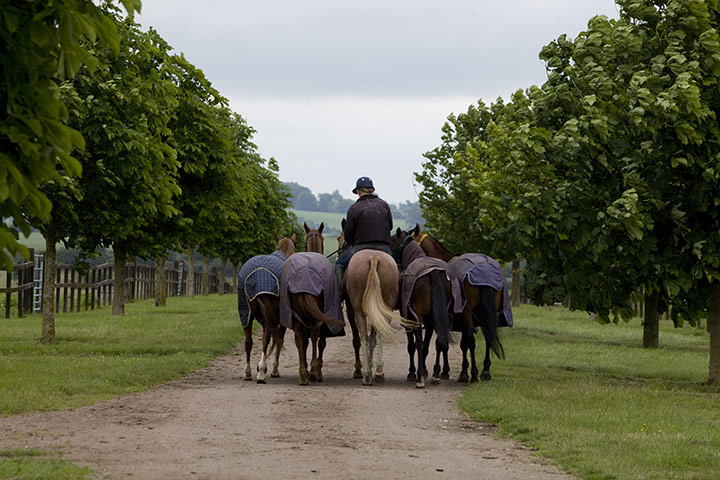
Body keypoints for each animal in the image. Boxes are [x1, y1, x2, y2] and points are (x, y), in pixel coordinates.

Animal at [237, 233, 296, 383]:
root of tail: (258, 274)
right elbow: (279, 339)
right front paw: (274, 369)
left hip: (245, 311)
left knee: (249, 341)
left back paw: (248, 372)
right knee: (266, 338)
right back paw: (261, 372)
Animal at [279, 223, 345, 385]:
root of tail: (306, 273)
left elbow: (305, 342)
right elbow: (321, 342)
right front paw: (317, 370)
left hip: (296, 315)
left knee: (299, 339)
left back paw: (303, 373)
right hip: (317, 316)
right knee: (315, 337)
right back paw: (314, 371)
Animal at [338, 218, 410, 385]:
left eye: (339, 238)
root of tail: (373, 257)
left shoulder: (351, 310)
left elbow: (358, 339)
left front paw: (360, 369)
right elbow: (373, 337)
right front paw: (371, 365)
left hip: (358, 310)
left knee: (363, 336)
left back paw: (365, 375)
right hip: (387, 308)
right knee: (380, 334)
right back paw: (379, 372)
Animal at [390, 228, 461, 387]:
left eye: (392, 240)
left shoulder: (409, 320)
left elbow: (413, 346)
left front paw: (413, 372)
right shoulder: (431, 321)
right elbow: (430, 346)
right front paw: (428, 371)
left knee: (419, 343)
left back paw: (420, 378)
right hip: (435, 319)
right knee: (439, 342)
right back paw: (435, 375)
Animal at [409, 224, 510, 382]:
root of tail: (485, 272)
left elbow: (445, 344)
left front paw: (442, 370)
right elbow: (461, 344)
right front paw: (451, 370)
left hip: (468, 314)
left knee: (472, 340)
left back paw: (471, 374)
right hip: (489, 315)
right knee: (488, 336)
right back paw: (485, 370)